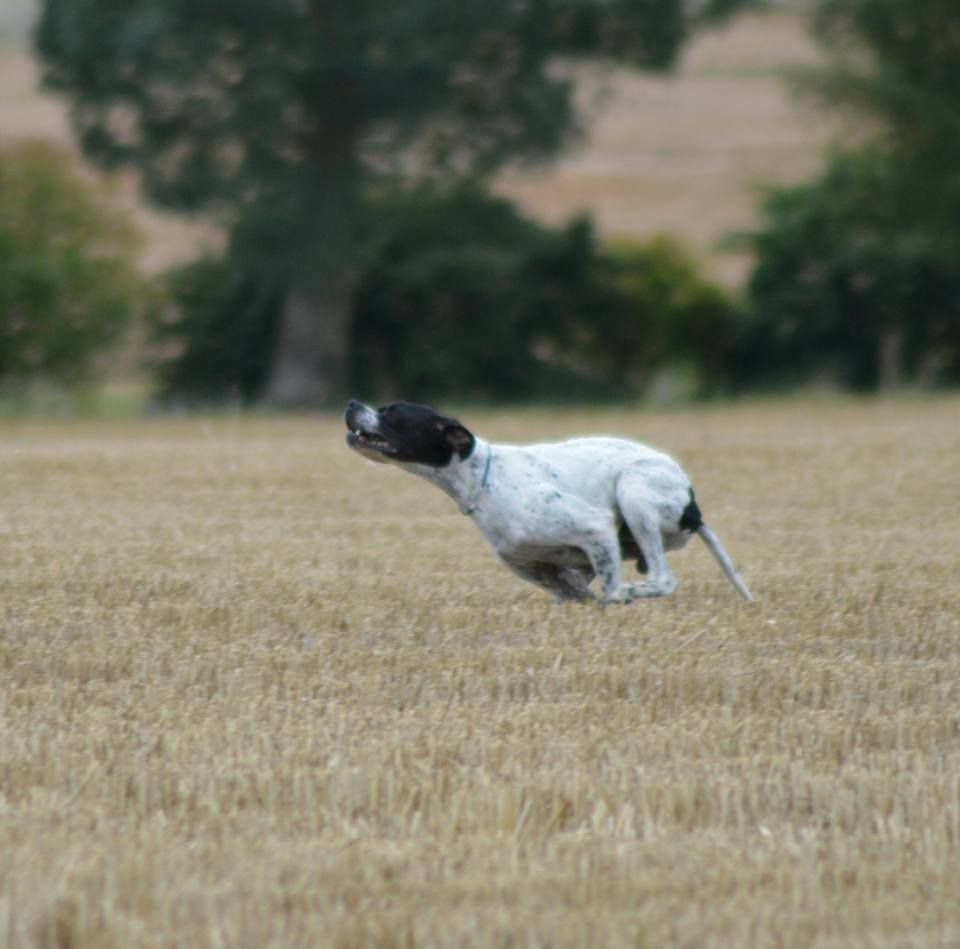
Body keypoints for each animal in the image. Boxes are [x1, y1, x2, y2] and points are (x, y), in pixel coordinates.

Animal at [342, 398, 752, 604]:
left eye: (392, 412)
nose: (350, 403)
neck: (483, 480)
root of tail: (693, 506)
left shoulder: (595, 527)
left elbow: (609, 590)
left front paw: (618, 598)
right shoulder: (548, 567)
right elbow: (573, 590)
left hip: (633, 491)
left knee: (663, 579)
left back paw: (638, 590)